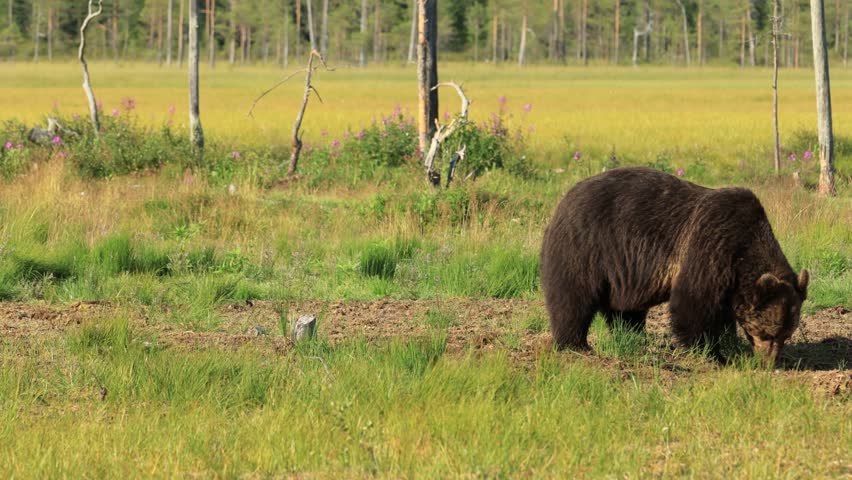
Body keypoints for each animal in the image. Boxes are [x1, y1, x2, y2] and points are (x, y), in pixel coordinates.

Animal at [540, 166, 809, 361]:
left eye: (786, 334)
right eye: (767, 332)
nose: (768, 361)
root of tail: (563, 201)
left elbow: (723, 314)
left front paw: (728, 344)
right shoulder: (709, 247)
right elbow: (693, 304)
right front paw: (709, 352)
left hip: (622, 274)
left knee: (625, 311)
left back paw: (633, 337)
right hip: (585, 248)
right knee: (572, 299)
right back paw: (575, 345)